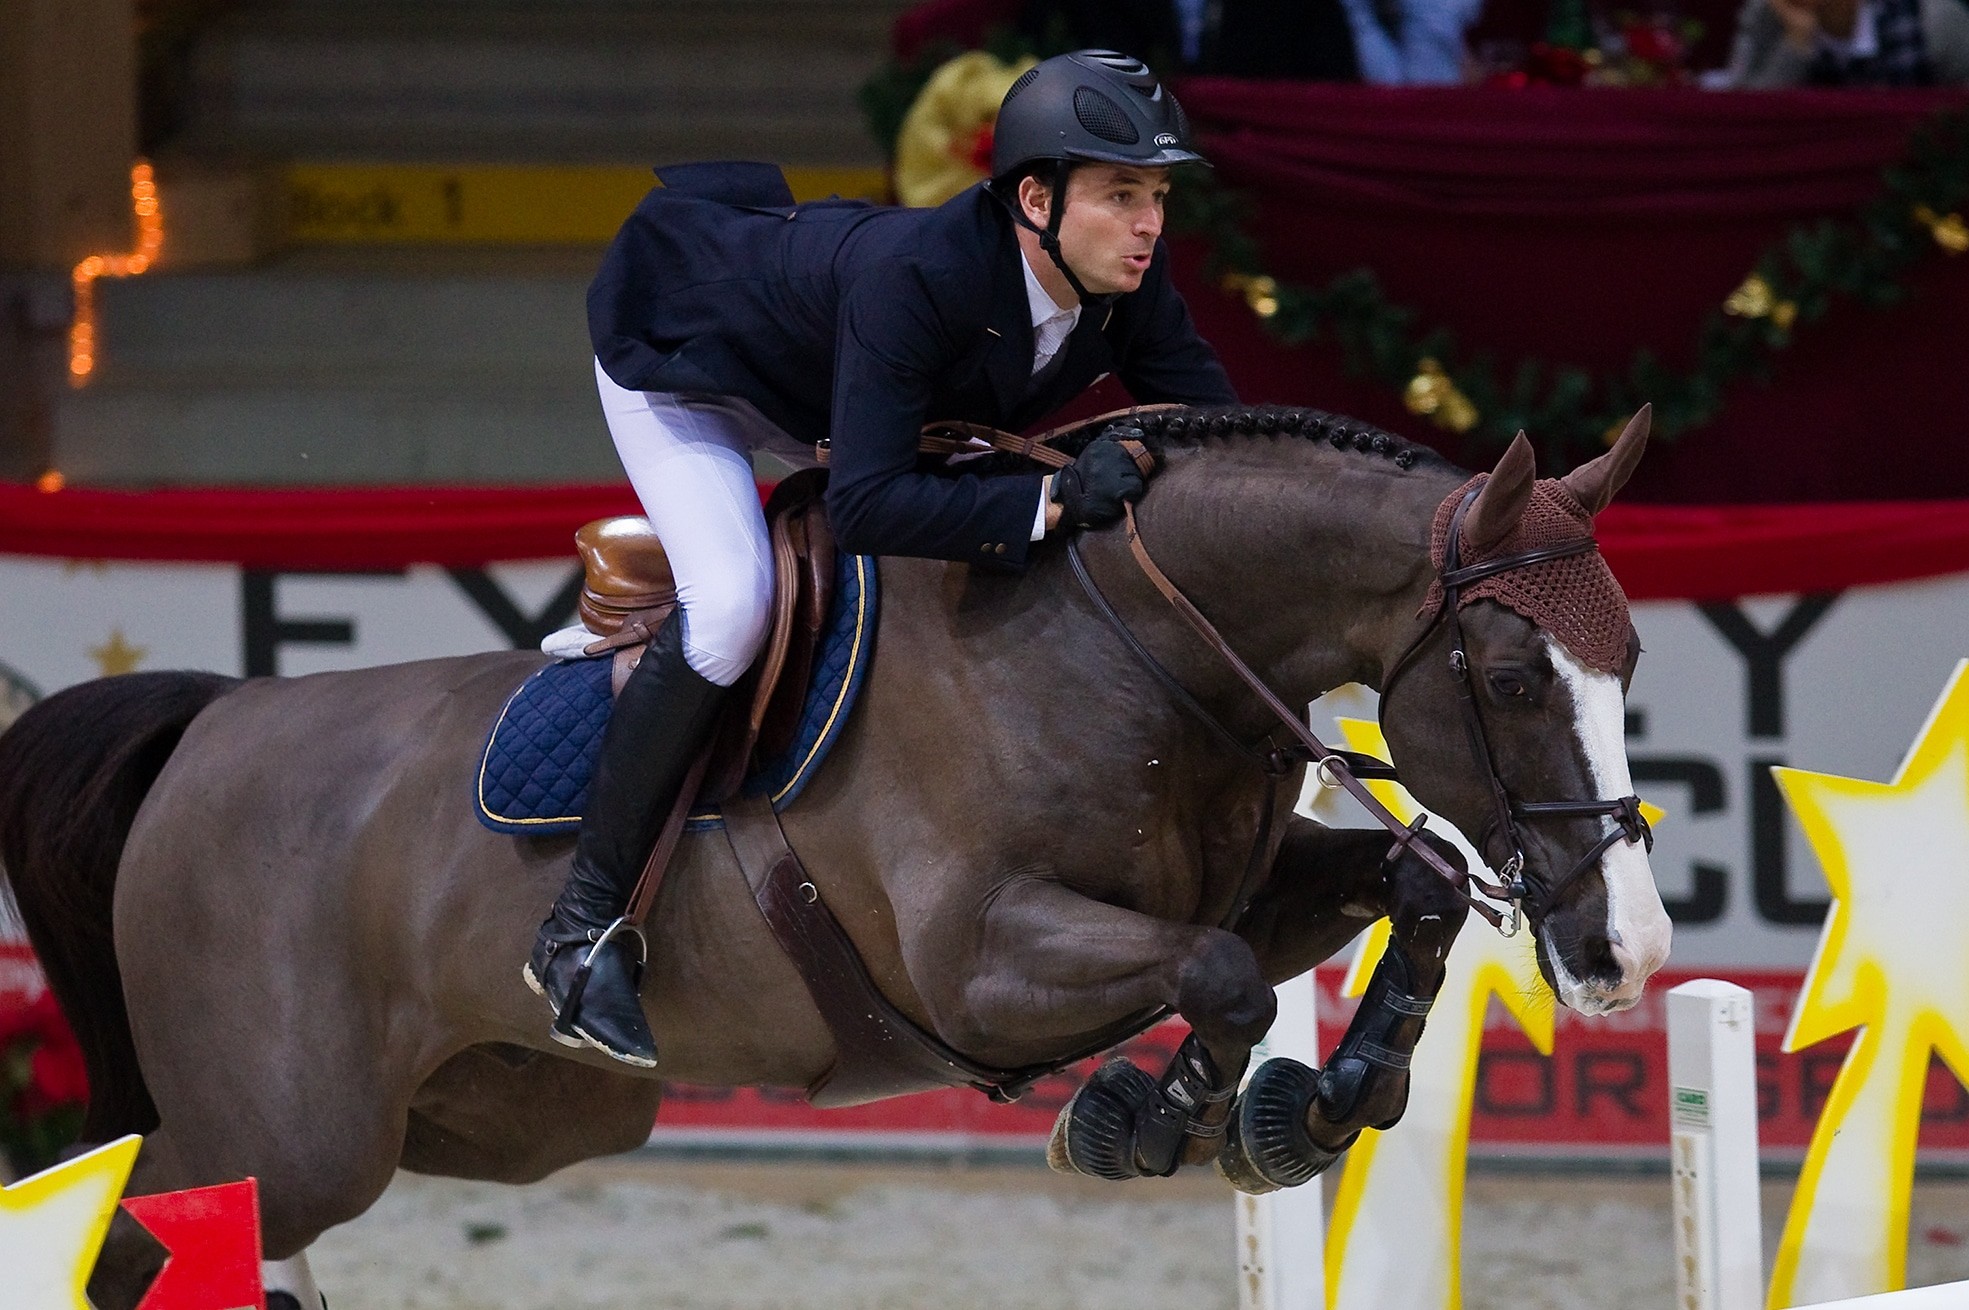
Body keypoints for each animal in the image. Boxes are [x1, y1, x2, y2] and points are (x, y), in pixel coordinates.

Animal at [0, 403, 1669, 1300]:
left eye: (1630, 661)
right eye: (1511, 678)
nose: (1631, 951)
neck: (1132, 639)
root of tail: (210, 722)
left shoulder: (1246, 890)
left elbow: (1411, 884)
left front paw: (1321, 1101)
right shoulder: (976, 961)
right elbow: (1214, 978)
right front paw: (1140, 1117)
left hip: (509, 1113)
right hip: (292, 1131)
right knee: (133, 1219)